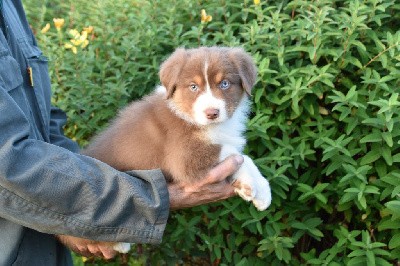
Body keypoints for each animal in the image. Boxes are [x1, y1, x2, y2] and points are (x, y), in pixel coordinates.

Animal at [84, 46, 272, 251]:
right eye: (193, 87)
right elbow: (238, 154)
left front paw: (261, 191)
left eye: (224, 84)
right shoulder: (185, 158)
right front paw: (253, 183)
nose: (212, 113)